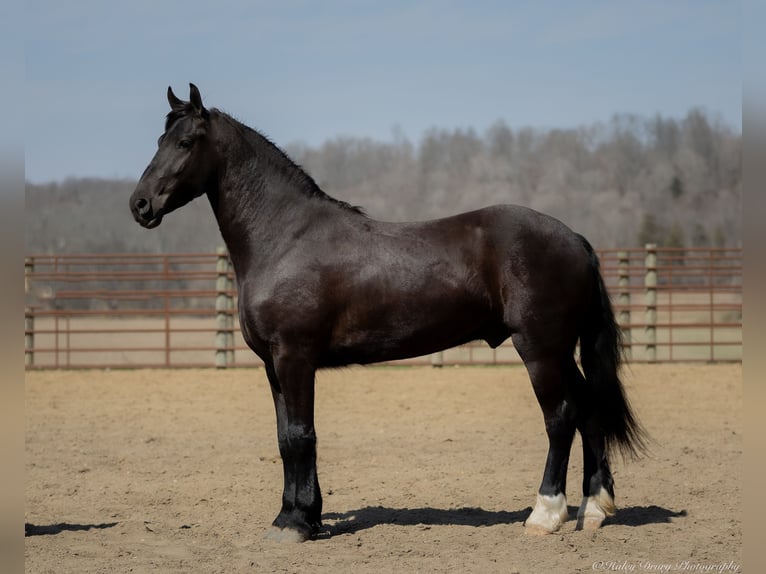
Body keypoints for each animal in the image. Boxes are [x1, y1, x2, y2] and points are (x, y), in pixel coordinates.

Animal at [129, 84, 644, 544]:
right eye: (158, 141)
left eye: (185, 142)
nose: (140, 205)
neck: (284, 237)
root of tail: (575, 240)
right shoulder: (273, 366)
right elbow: (284, 439)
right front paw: (299, 516)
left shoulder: (294, 358)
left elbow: (299, 435)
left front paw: (295, 524)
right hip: (560, 351)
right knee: (588, 410)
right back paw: (594, 509)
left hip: (540, 350)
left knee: (560, 417)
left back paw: (545, 515)